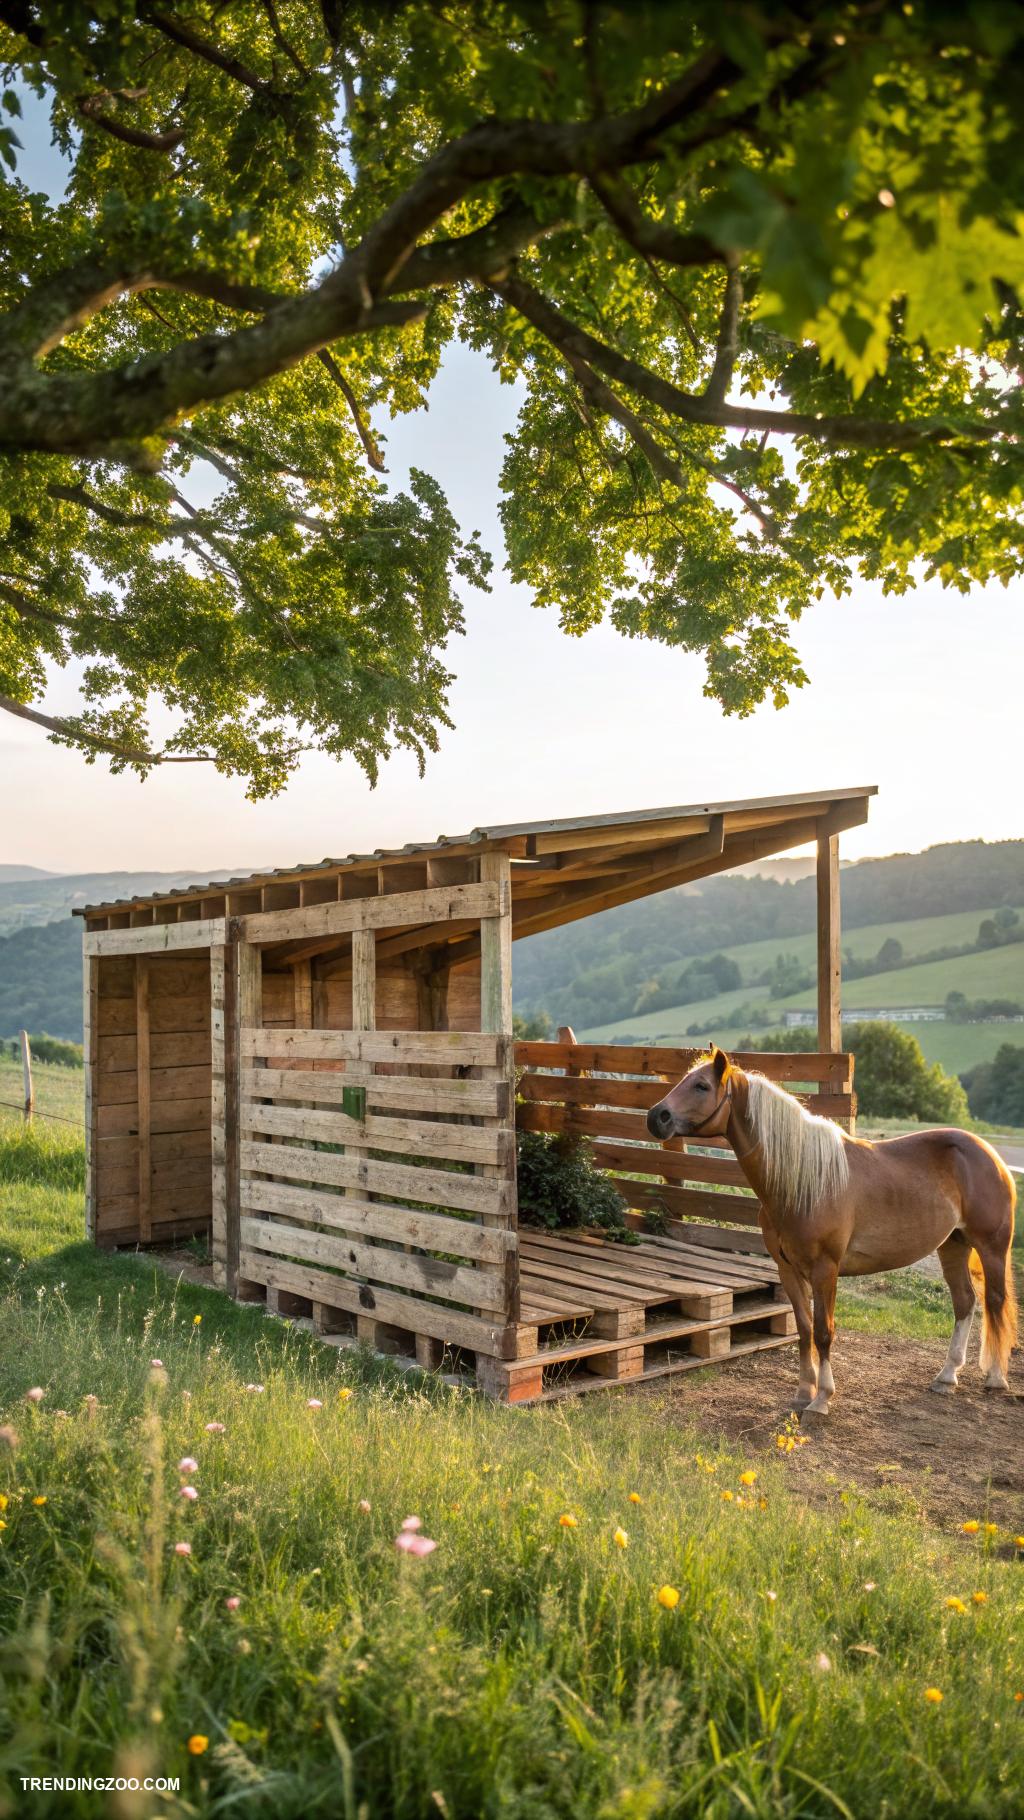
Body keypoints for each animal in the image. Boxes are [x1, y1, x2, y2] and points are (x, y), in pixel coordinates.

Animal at [646, 1047, 1017, 1416]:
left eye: (701, 1086)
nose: (656, 1116)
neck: (801, 1182)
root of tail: (991, 1156)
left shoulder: (825, 1270)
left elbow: (824, 1331)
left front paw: (822, 1398)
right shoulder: (788, 1270)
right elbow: (804, 1329)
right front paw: (802, 1392)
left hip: (991, 1248)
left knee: (995, 1300)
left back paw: (995, 1378)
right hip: (952, 1245)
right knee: (965, 1302)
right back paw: (946, 1376)